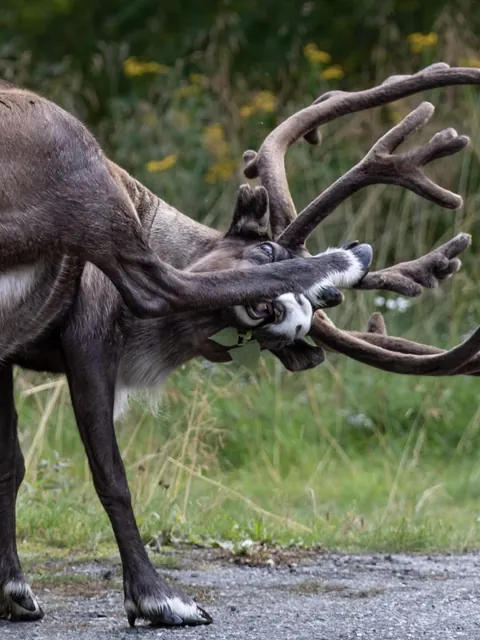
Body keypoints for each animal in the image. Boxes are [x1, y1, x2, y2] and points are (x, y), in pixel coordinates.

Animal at [2, 62, 480, 629]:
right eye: (266, 247)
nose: (292, 315)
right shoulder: (89, 339)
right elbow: (110, 475)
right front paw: (155, 597)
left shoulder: (5, 350)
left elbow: (10, 466)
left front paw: (12, 589)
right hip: (75, 157)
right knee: (157, 284)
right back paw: (344, 259)